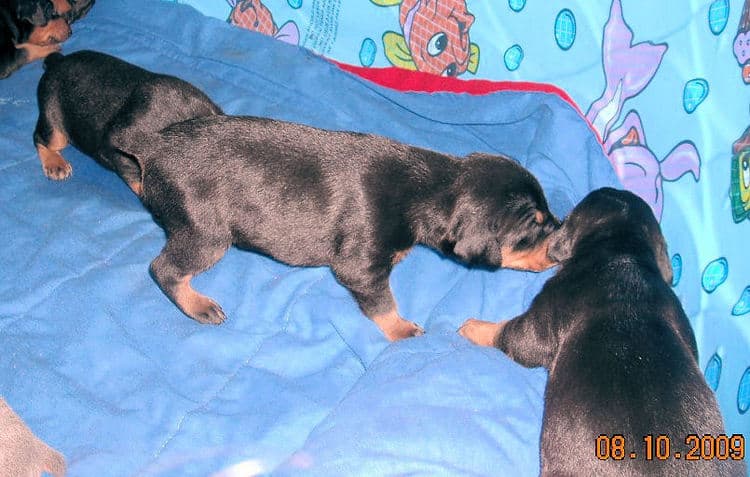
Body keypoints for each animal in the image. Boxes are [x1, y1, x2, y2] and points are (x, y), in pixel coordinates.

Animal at [114, 114, 560, 340]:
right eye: (531, 230)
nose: (561, 241)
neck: (433, 187)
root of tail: (152, 145)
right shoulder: (361, 268)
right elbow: (383, 305)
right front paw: (403, 330)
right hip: (207, 234)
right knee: (165, 269)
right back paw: (199, 305)